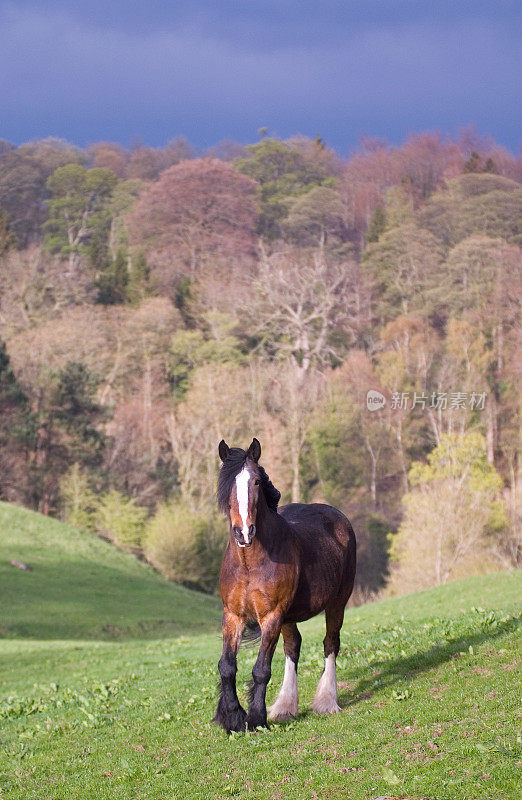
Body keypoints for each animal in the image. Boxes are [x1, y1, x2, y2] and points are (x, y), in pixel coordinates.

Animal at [211, 440, 354, 736]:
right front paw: (232, 718)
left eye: (256, 481)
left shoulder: (271, 616)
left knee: (330, 643)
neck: (249, 562)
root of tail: (338, 518)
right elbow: (227, 666)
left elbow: (261, 670)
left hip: (337, 603)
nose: (244, 532)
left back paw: (327, 701)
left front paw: (255, 718)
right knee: (293, 646)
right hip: (288, 617)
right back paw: (286, 706)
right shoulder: (232, 615)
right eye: (226, 482)